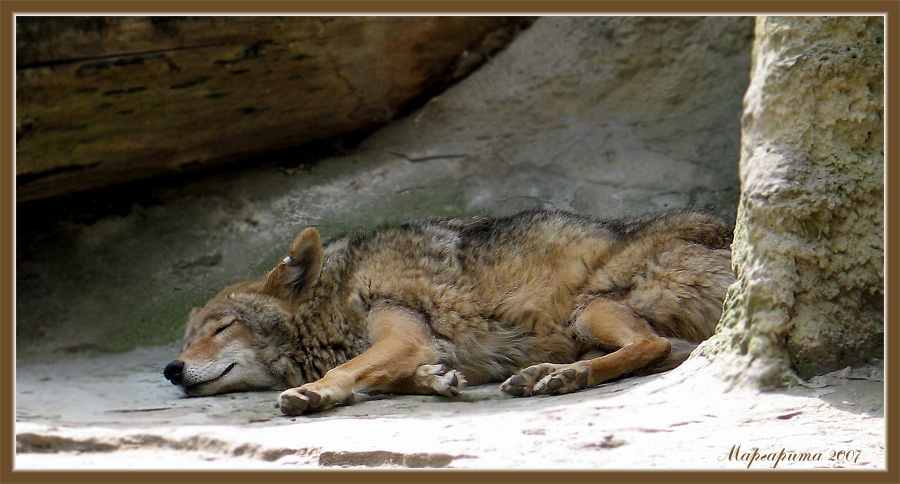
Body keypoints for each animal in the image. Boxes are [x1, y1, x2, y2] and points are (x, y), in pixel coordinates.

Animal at [164, 209, 733, 416]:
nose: (171, 369)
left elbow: (347, 371)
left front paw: (313, 393)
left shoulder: (405, 333)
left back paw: (562, 378)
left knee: (652, 344)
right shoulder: (418, 346)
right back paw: (543, 374)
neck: (339, 294)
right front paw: (436, 381)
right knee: (660, 351)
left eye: (221, 327)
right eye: (186, 340)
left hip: (590, 308)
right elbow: (392, 376)